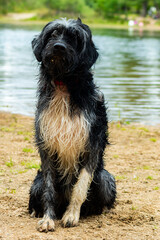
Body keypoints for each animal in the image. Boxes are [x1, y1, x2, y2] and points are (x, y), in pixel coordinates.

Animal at [28, 17, 116, 232]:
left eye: (74, 38)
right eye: (53, 33)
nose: (59, 47)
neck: (64, 84)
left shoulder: (92, 142)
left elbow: (81, 185)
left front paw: (71, 215)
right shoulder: (46, 144)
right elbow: (49, 188)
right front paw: (48, 218)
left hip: (105, 179)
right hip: (35, 184)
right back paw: (36, 212)